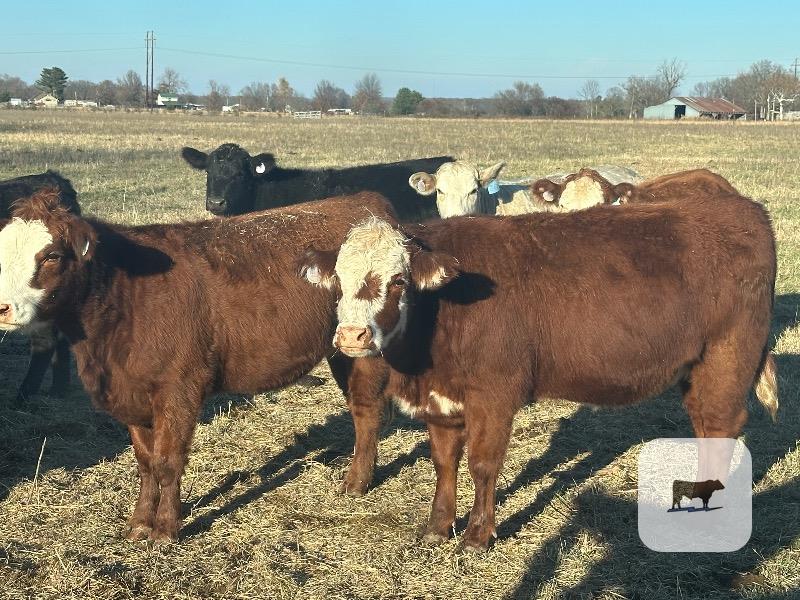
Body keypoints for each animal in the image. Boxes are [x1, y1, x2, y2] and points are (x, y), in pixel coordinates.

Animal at [300, 188, 778, 552]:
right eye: (339, 280)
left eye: (398, 280)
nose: (352, 337)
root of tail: (745, 210)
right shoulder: (442, 398)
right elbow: (444, 462)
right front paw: (438, 526)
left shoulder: (494, 395)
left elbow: (483, 464)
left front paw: (477, 535)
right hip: (697, 368)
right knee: (705, 425)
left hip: (727, 357)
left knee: (720, 424)